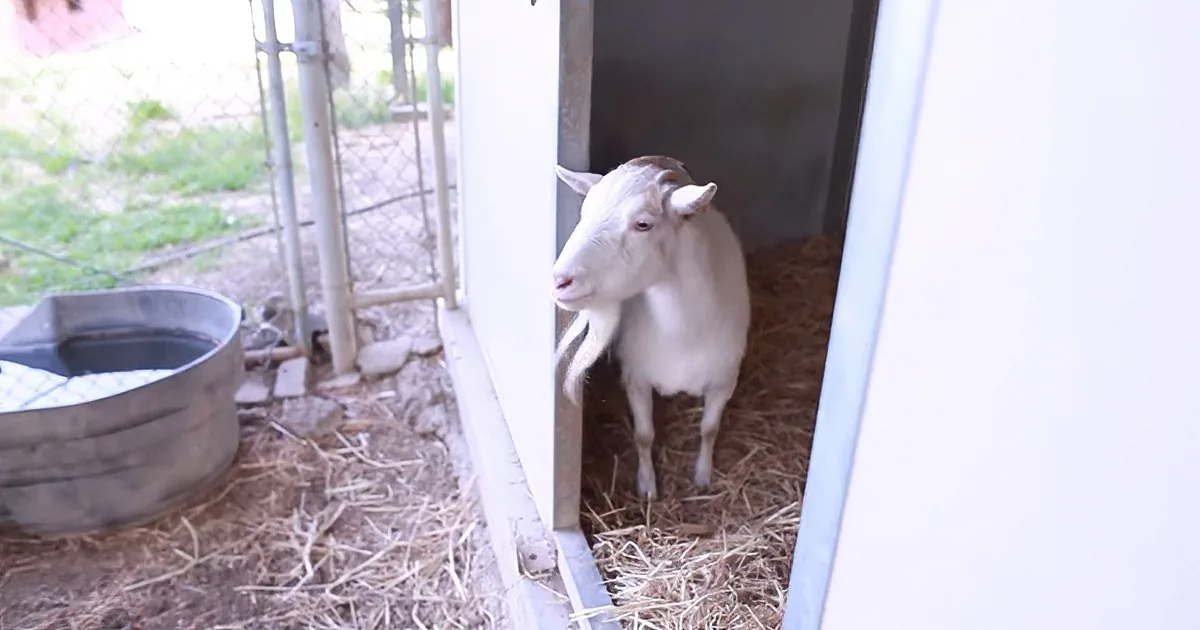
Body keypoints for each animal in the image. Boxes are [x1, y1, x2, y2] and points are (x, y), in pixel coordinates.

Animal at [552, 156, 751, 499]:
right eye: (584, 211)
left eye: (643, 224)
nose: (560, 280)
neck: (682, 337)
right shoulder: (636, 379)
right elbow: (644, 435)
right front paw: (647, 487)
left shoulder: (724, 381)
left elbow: (709, 429)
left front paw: (703, 476)